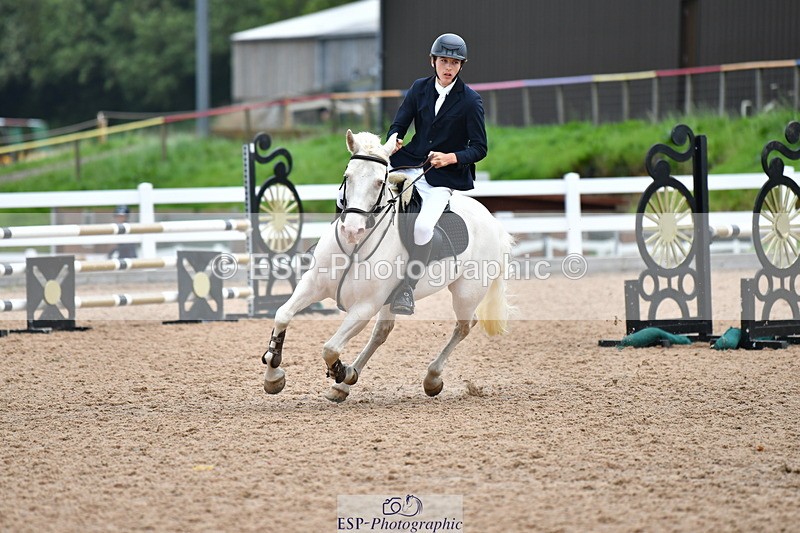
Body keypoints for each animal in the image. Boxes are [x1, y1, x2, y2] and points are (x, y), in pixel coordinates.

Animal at [261, 129, 514, 402]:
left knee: (465, 326)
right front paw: (273, 376)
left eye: (379, 182)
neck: (354, 248)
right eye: (347, 177)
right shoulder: (313, 284)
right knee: (383, 331)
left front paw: (340, 370)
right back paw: (344, 386)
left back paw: (431, 379)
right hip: (392, 299)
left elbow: (330, 348)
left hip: (467, 292)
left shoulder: (365, 306)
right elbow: (282, 314)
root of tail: (491, 219)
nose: (352, 230)